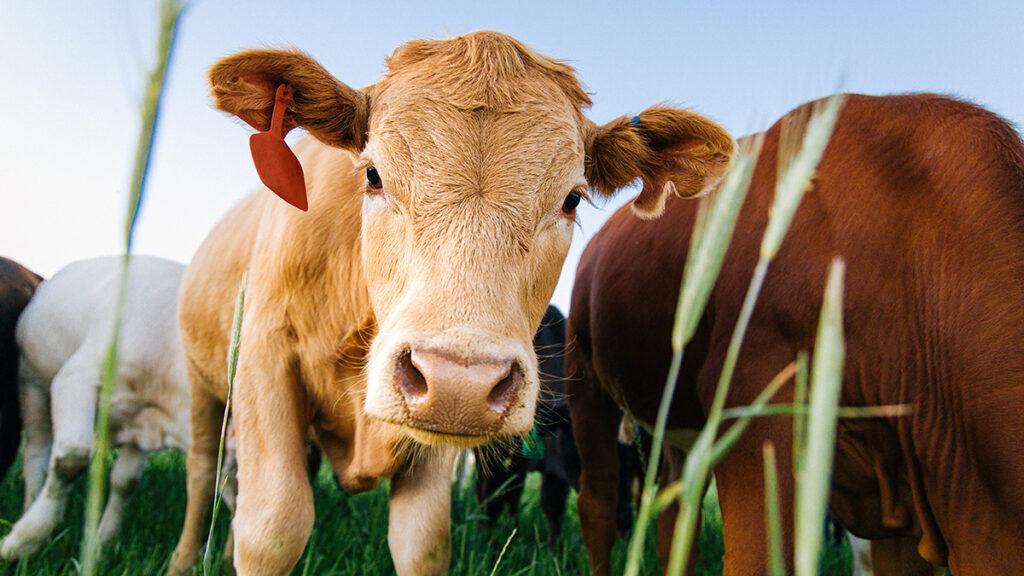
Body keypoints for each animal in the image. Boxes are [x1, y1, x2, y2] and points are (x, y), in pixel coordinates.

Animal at [0, 254, 192, 557]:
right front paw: (25, 539)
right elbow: (70, 460)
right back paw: (28, 507)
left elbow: (125, 482)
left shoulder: (145, 426)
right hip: (32, 386)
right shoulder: (75, 380)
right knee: (36, 455)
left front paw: (102, 544)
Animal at [169, 32, 737, 573]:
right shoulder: (265, 361)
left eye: (572, 199)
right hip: (204, 388)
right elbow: (272, 528)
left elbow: (422, 543)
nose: (459, 382)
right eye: (373, 174)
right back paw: (184, 559)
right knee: (203, 472)